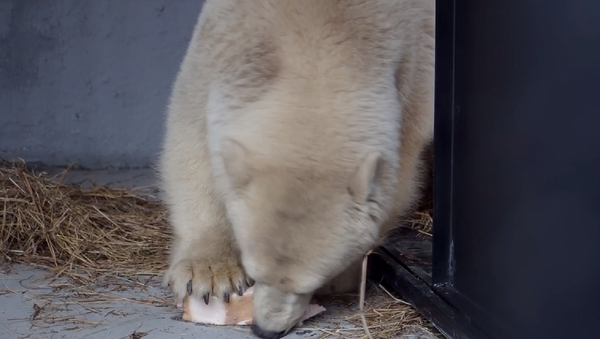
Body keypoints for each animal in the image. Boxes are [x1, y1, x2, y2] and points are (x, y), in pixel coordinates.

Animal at [157, 0, 434, 338]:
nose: (266, 329)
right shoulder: (218, 45)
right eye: (254, 271)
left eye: (310, 283)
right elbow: (190, 137)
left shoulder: (415, 69)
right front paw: (208, 274)